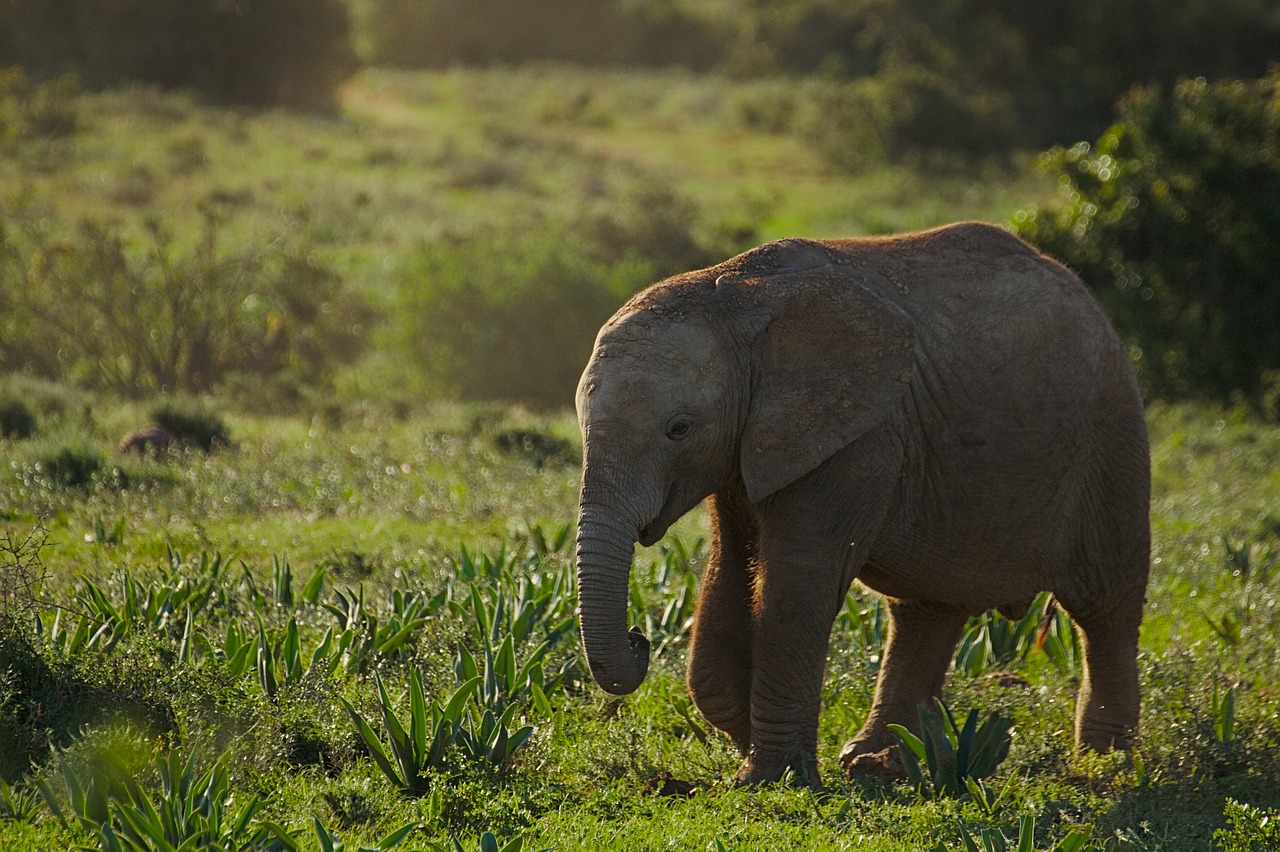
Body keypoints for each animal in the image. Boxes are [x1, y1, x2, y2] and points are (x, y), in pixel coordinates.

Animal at [573, 218, 1152, 782]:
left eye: (679, 429)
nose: (639, 637)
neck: (734, 294)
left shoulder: (861, 437)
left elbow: (796, 582)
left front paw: (773, 777)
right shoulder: (747, 446)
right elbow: (730, 568)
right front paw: (749, 743)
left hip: (1111, 435)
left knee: (1106, 604)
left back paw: (1105, 762)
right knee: (926, 610)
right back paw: (881, 761)